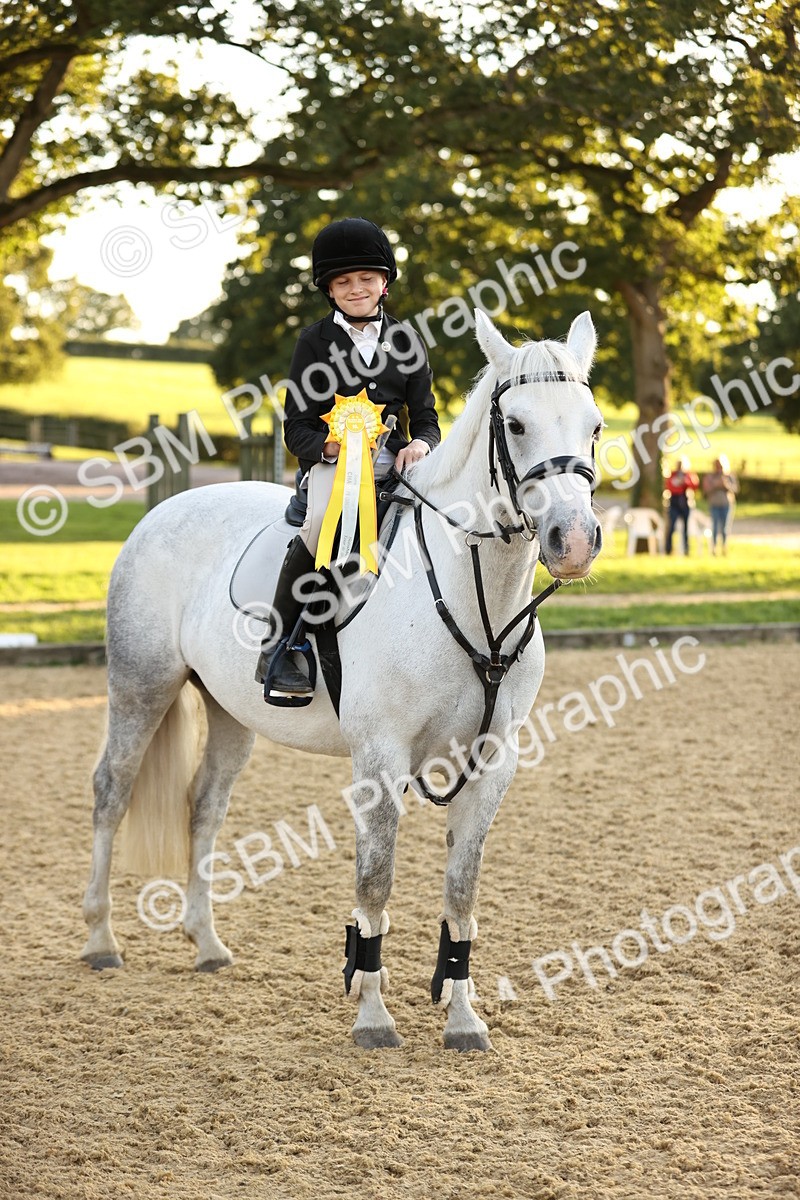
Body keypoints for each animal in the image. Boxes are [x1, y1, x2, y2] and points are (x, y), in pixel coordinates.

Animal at [81, 309, 604, 1051]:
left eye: (594, 426)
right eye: (518, 424)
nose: (575, 541)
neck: (472, 593)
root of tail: (164, 509)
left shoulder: (493, 761)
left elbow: (462, 889)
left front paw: (463, 1019)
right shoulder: (381, 758)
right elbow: (375, 883)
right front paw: (373, 1015)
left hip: (232, 714)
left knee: (204, 805)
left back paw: (207, 944)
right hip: (141, 687)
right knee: (113, 792)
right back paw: (101, 939)